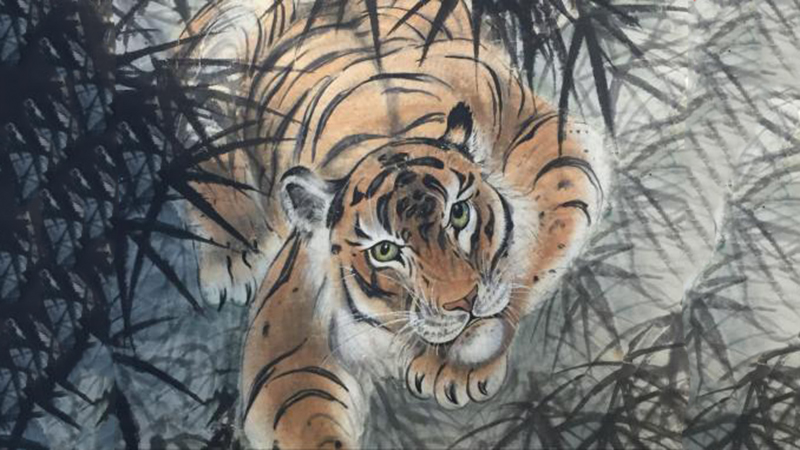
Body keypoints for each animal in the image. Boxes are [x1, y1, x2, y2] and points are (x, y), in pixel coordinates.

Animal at [179, 0, 609, 448]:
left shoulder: (556, 146)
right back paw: (230, 259)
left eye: (459, 214)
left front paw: (452, 367)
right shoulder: (287, 348)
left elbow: (532, 251)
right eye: (385, 250)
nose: (464, 302)